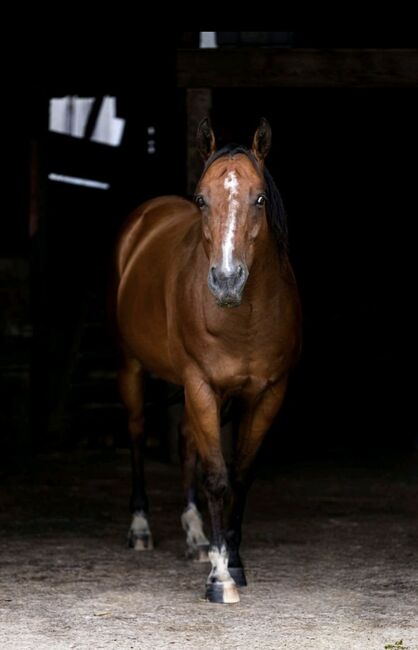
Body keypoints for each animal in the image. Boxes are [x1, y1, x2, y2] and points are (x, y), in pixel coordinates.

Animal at [111, 117, 300, 604]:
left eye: (260, 199)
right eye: (201, 199)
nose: (227, 280)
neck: (242, 318)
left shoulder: (268, 393)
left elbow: (241, 475)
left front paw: (232, 559)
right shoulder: (200, 384)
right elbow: (216, 476)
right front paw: (220, 579)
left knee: (185, 442)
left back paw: (196, 537)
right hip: (132, 367)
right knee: (137, 435)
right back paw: (140, 529)